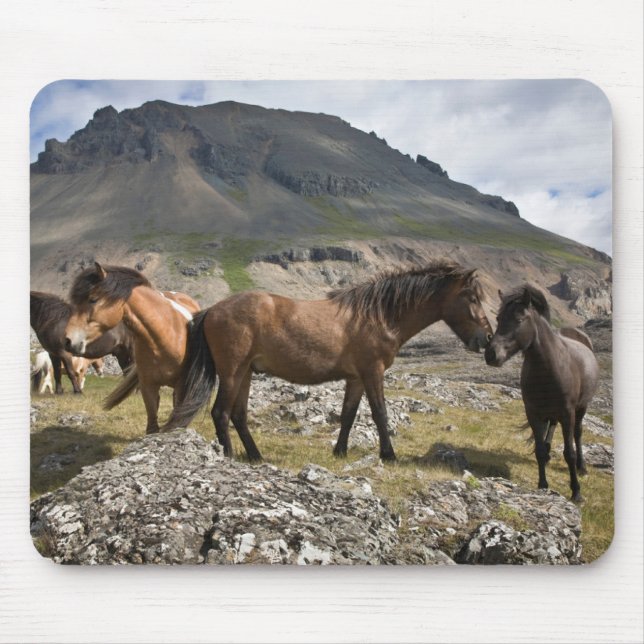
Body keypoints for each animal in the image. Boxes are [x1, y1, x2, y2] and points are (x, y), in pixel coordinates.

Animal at [64, 264, 201, 434]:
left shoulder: (181, 386)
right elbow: (152, 426)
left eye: (93, 299)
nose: (67, 341)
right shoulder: (148, 386)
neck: (164, 338)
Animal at [165, 261, 493, 463]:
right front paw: (389, 455)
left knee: (238, 415)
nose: (487, 338)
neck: (380, 316)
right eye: (472, 297)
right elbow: (380, 413)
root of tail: (212, 310)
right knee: (220, 413)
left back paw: (256, 456)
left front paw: (340, 452)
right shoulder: (373, 372)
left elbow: (348, 415)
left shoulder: (356, 377)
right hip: (232, 372)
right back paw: (230, 456)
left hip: (245, 373)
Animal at [484, 285, 599, 502]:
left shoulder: (567, 413)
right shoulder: (533, 413)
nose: (491, 354)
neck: (550, 367)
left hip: (581, 408)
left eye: (519, 319)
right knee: (551, 430)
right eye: (498, 318)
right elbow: (538, 450)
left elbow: (569, 452)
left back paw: (582, 467)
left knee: (578, 434)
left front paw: (576, 492)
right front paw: (542, 485)